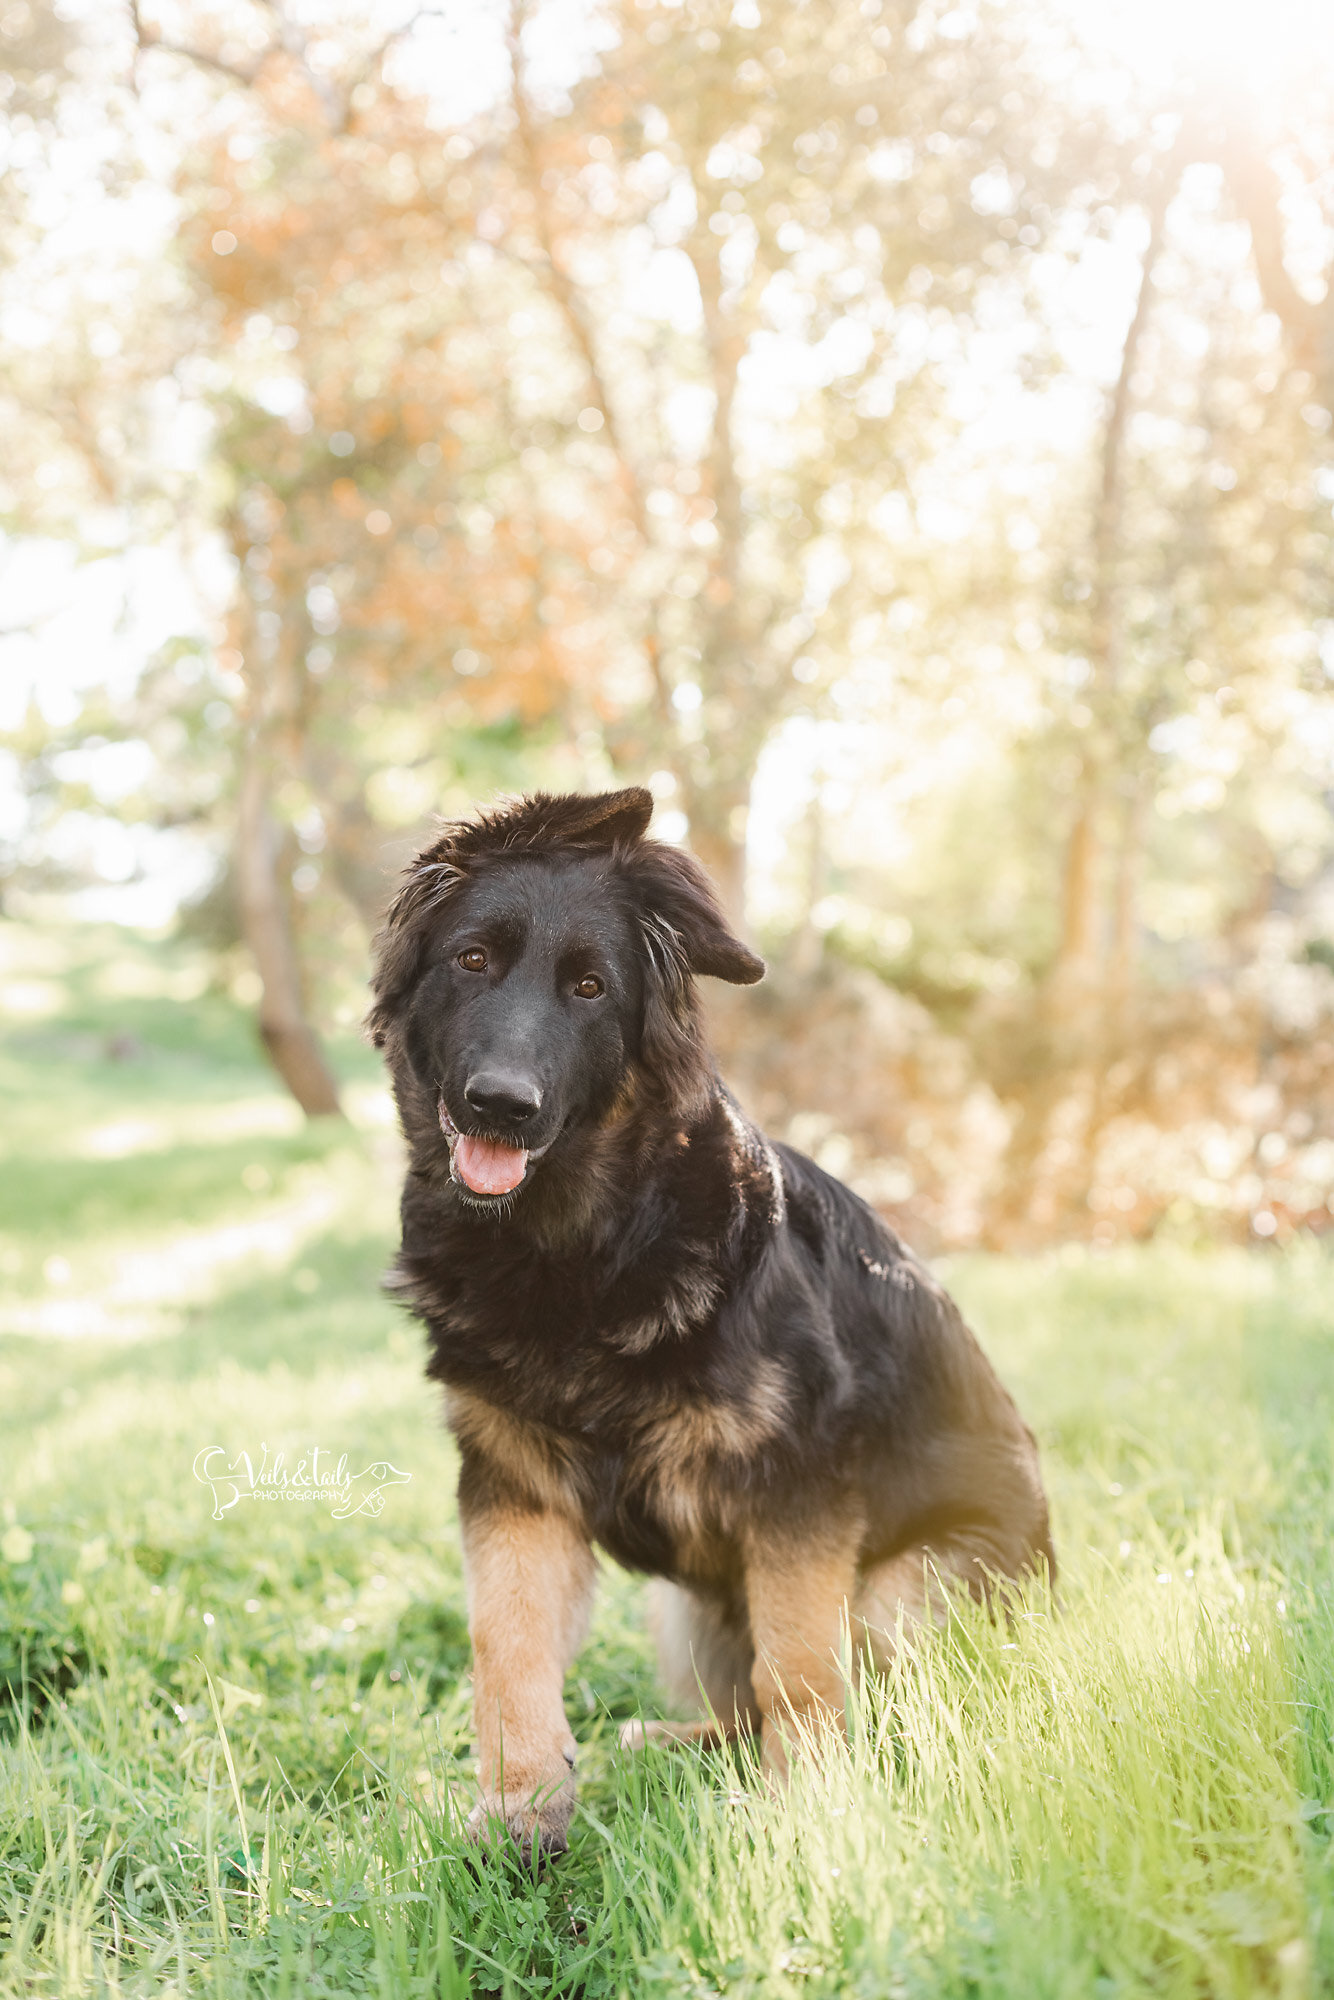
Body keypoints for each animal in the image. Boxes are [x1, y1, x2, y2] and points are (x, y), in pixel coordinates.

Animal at [368, 788, 1056, 1848]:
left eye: (591, 988)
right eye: (472, 960)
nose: (501, 1107)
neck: (584, 1248)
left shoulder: (797, 1490)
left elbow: (800, 1670)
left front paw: (804, 1812)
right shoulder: (513, 1485)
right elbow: (507, 1650)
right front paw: (520, 1815)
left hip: (898, 1600)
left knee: (859, 1699)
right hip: (685, 1610)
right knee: (736, 1708)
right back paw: (669, 1748)